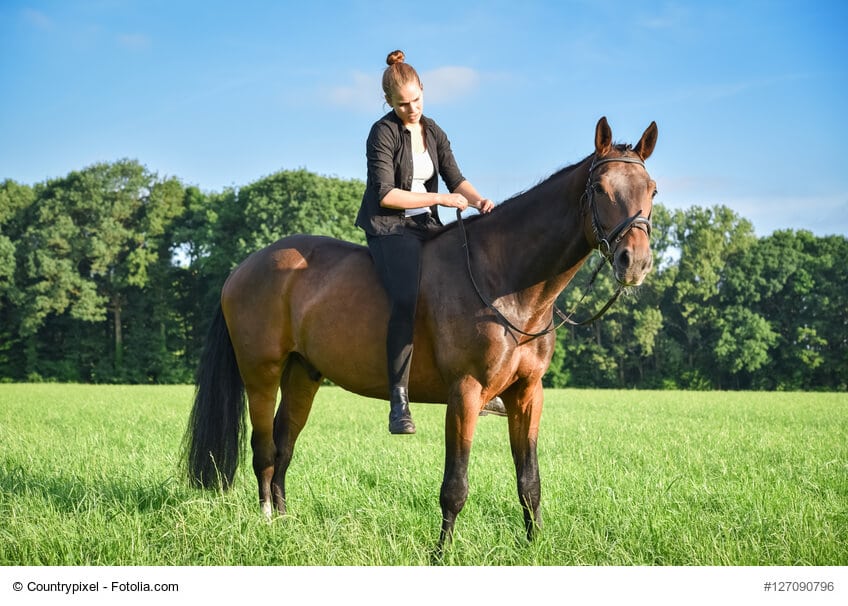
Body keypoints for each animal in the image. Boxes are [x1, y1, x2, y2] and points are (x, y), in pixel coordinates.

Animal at [184, 116, 658, 552]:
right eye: (600, 188)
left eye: (651, 190)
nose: (633, 262)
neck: (505, 281)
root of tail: (246, 265)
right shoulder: (464, 393)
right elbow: (455, 486)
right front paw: (441, 553)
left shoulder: (528, 393)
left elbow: (529, 480)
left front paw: (534, 546)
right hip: (260, 373)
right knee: (263, 449)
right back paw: (266, 521)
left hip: (303, 374)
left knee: (284, 446)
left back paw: (285, 523)